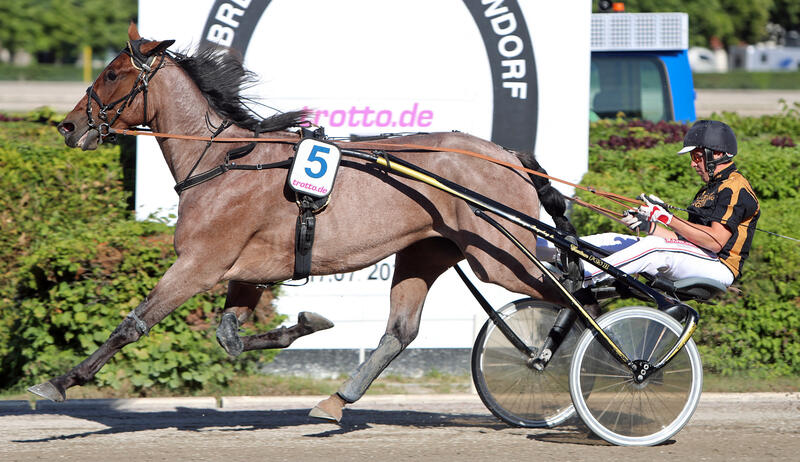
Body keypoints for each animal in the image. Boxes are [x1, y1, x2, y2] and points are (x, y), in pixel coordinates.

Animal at [36, 23, 576, 422]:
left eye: (111, 74)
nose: (68, 125)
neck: (224, 161)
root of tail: (507, 155)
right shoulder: (245, 272)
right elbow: (230, 337)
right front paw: (307, 323)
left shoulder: (199, 264)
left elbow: (132, 326)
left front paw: (59, 382)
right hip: (427, 250)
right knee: (400, 331)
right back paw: (337, 400)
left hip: (498, 257)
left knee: (577, 292)